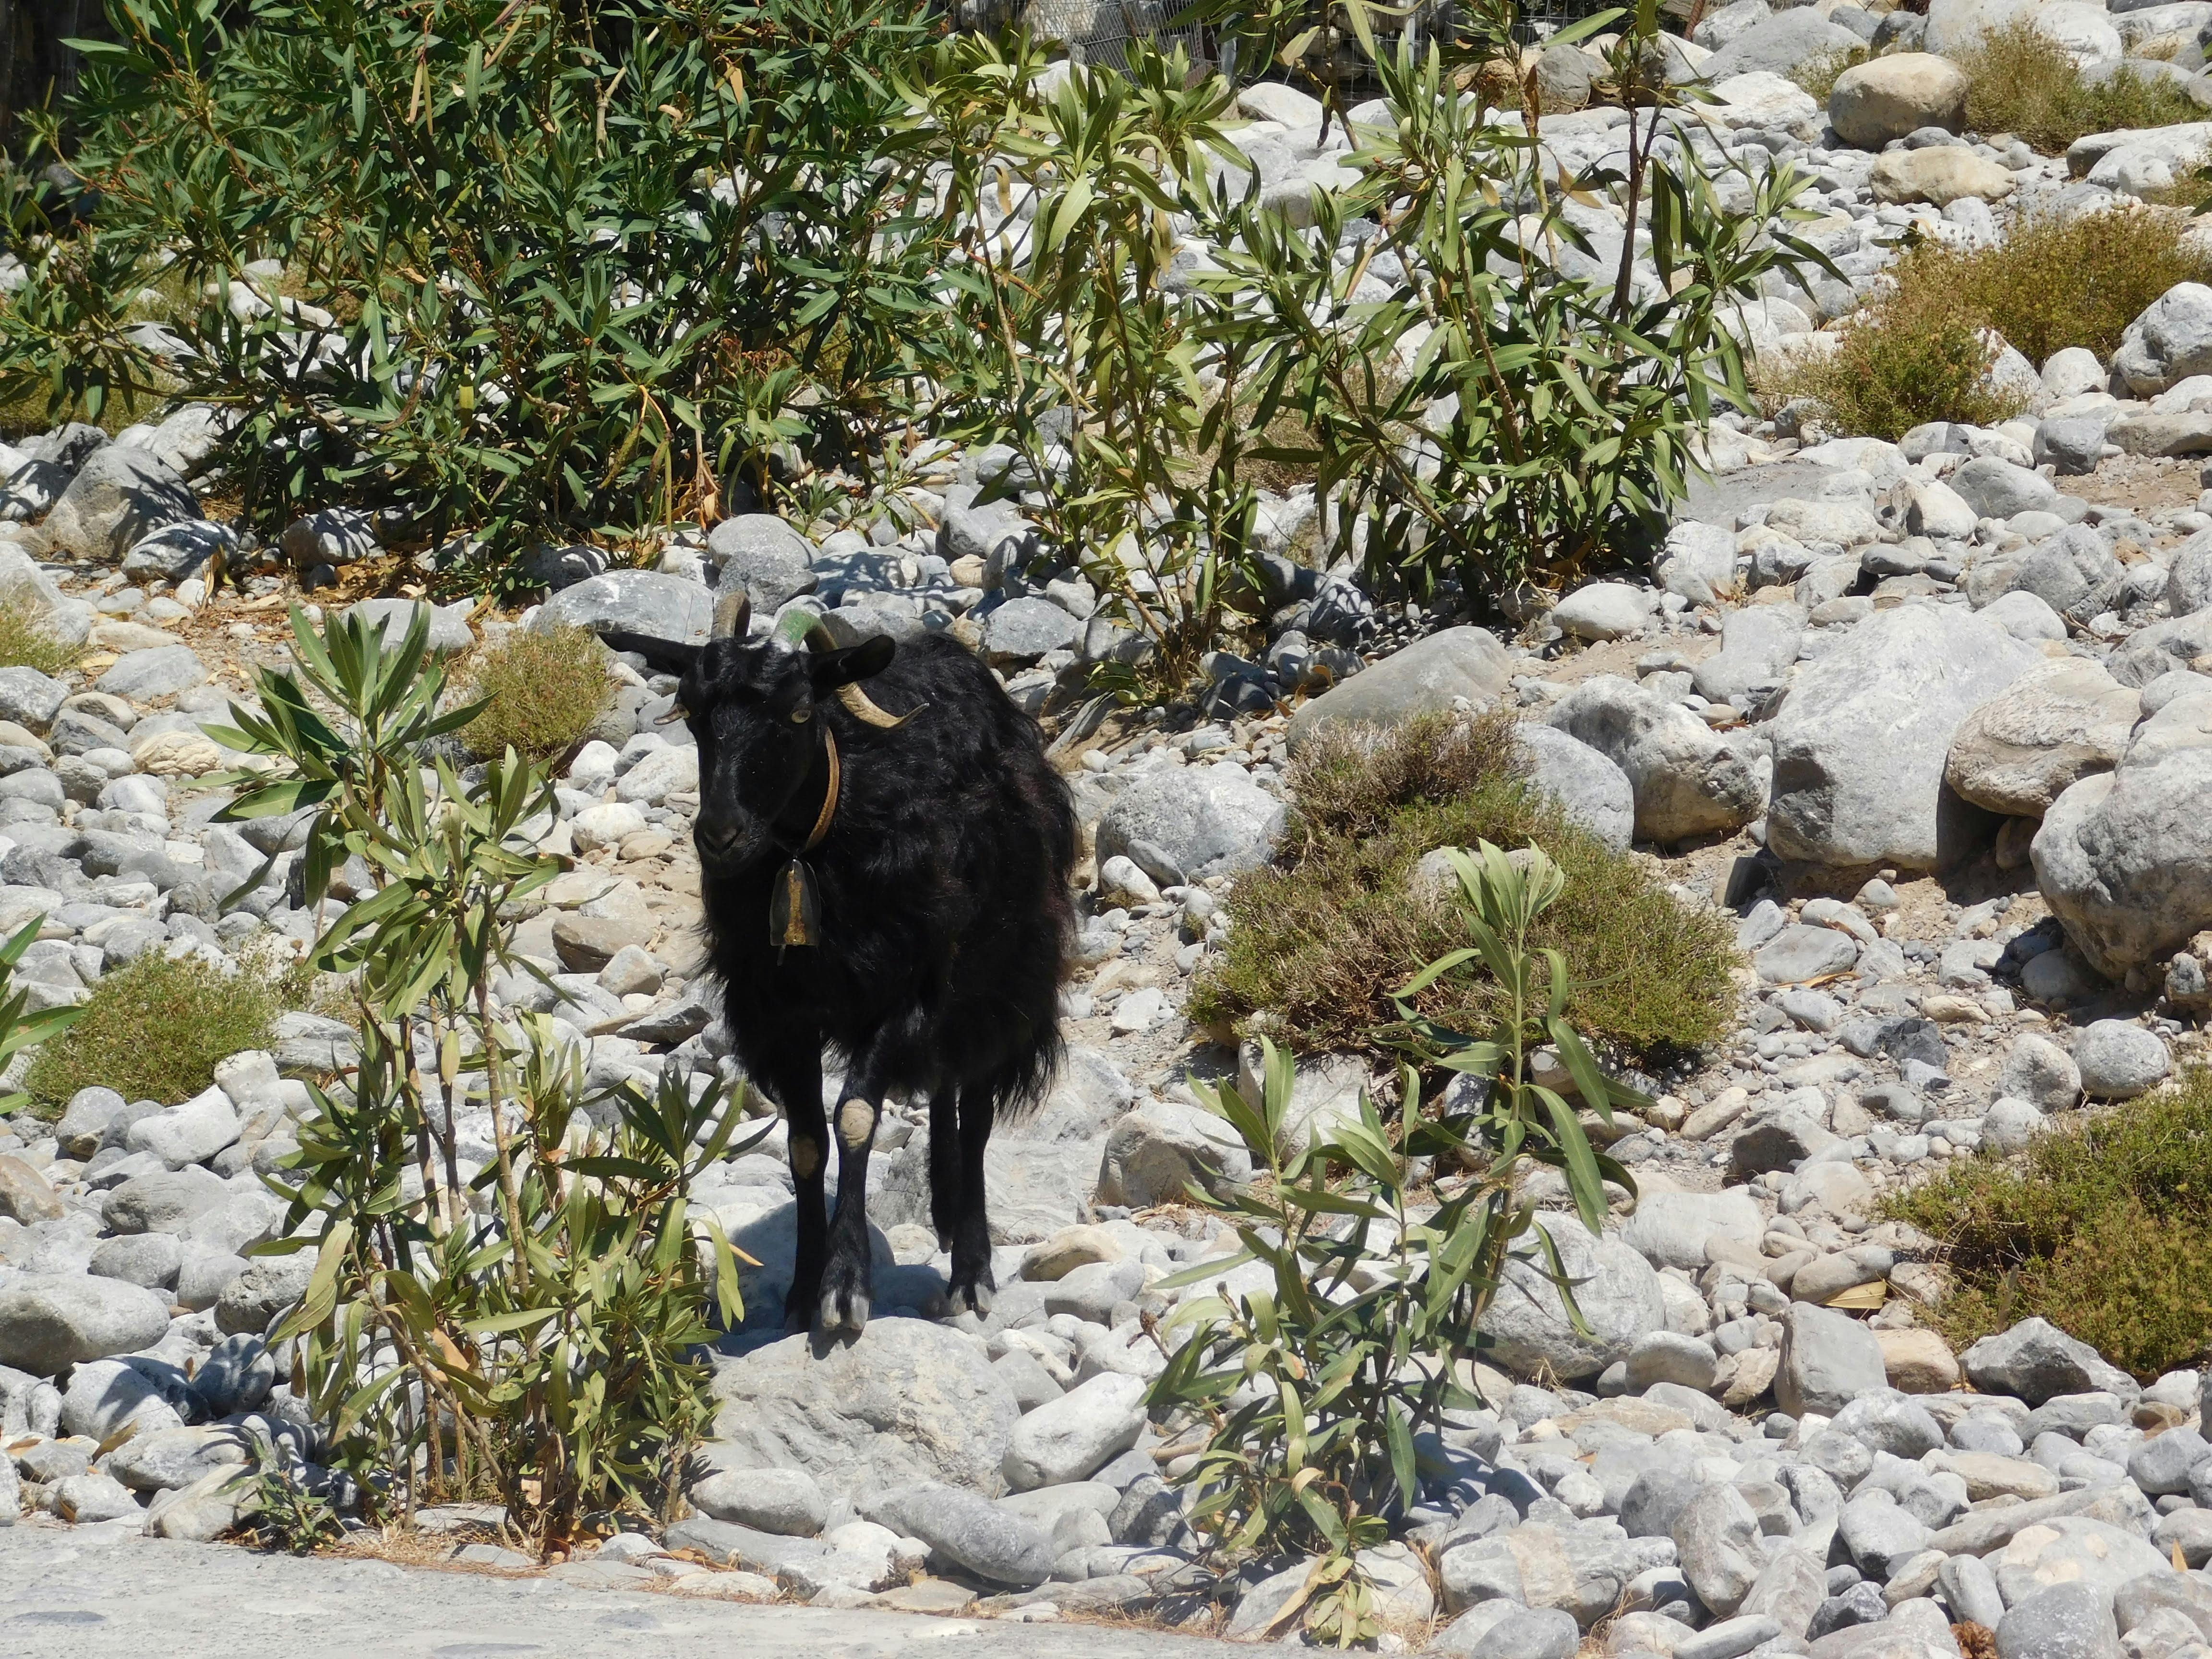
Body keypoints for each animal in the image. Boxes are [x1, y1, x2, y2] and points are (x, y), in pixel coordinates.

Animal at [601, 597, 1075, 1336]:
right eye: (692, 712)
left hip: (1003, 981)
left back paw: (970, 1268)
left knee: (973, 1109)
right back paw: (942, 1210)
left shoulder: (912, 994)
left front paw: (846, 1285)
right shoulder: (775, 1014)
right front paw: (802, 1290)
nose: (721, 835)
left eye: (800, 711)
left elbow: (855, 1117)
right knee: (944, 1090)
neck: (813, 850)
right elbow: (805, 1143)